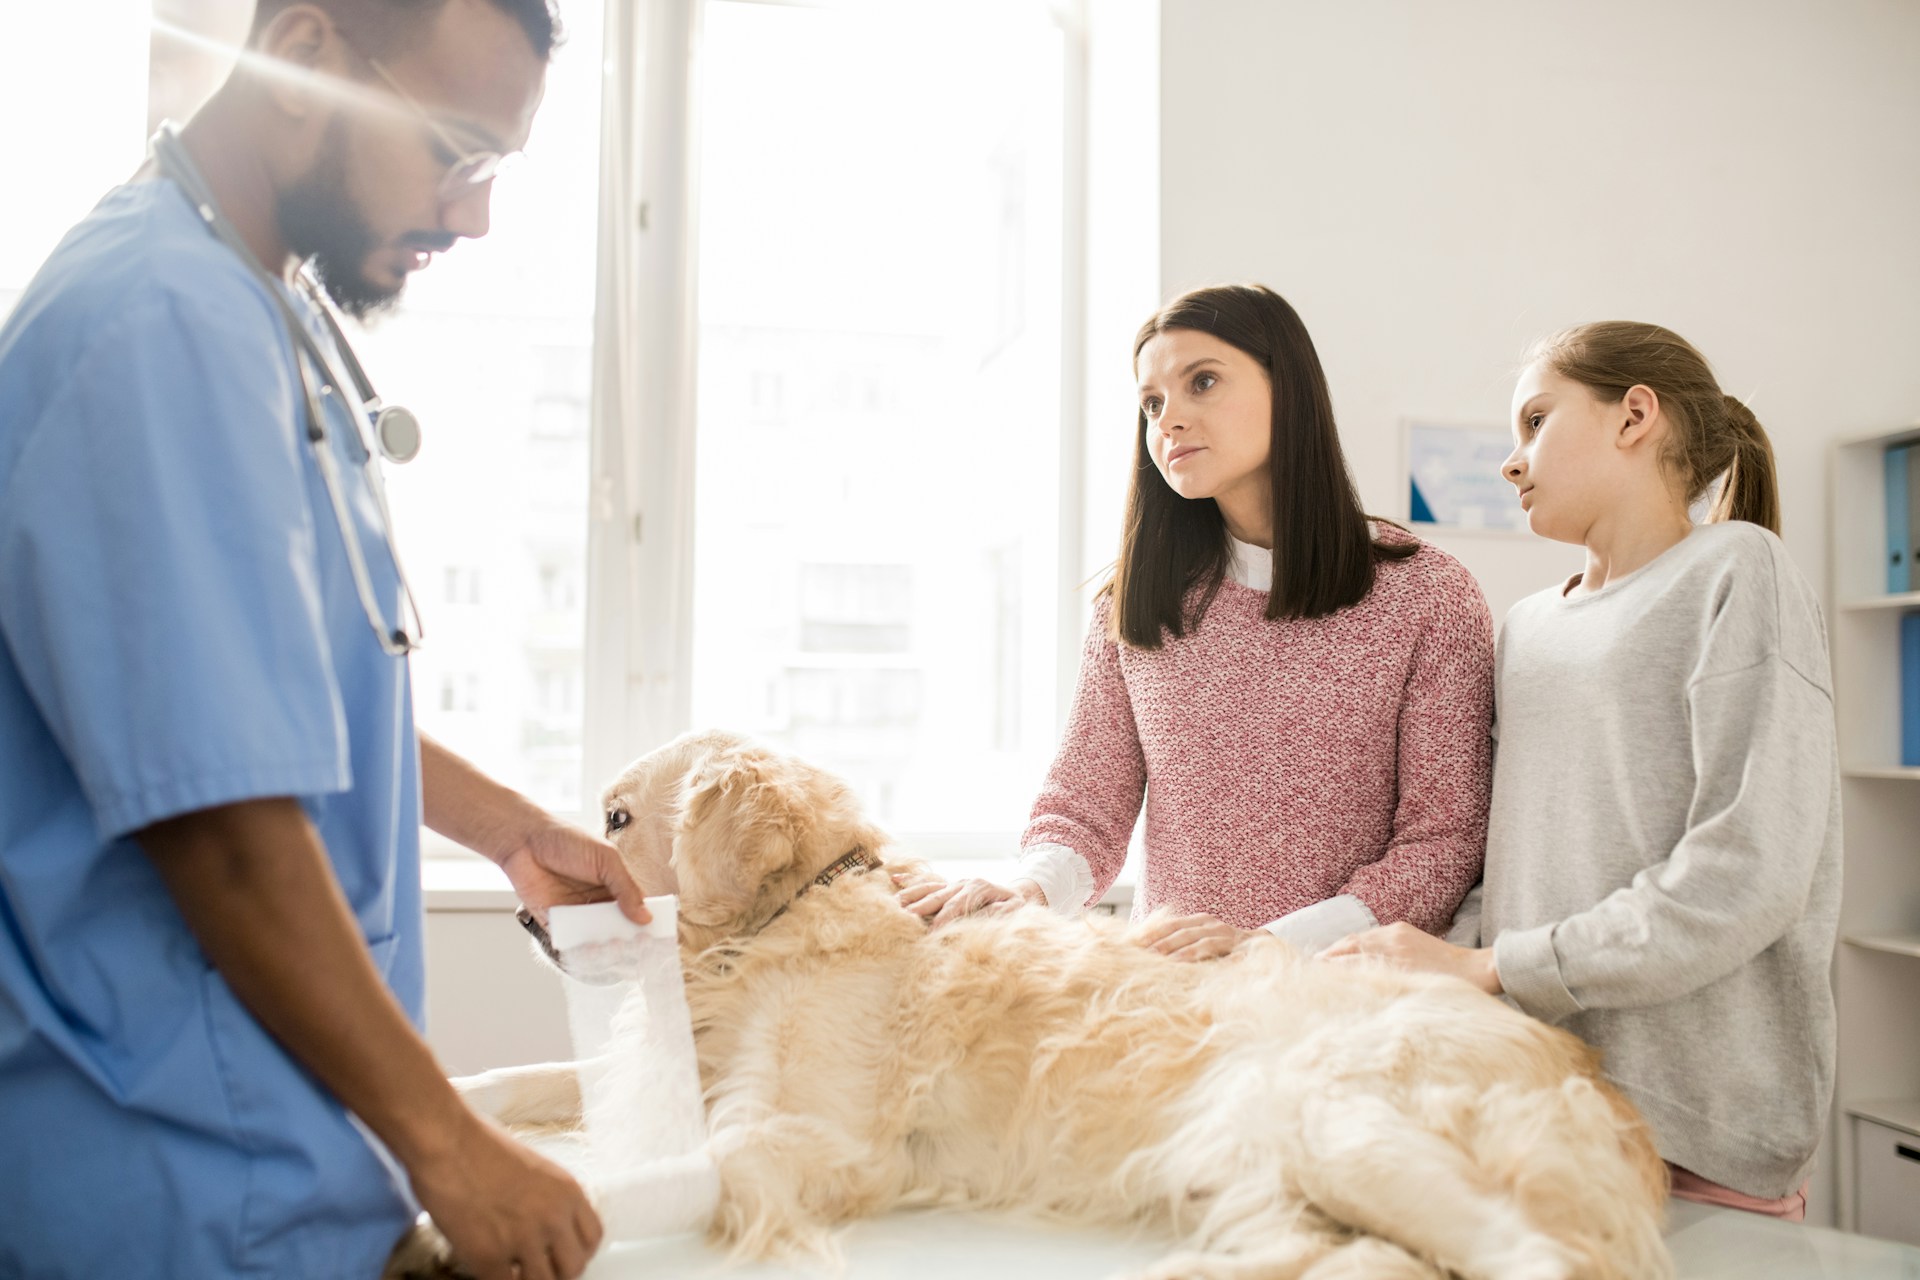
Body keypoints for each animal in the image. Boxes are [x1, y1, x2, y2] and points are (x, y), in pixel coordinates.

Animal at [445, 729, 1666, 1280]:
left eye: (616, 819)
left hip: (1344, 1123)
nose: (527, 922)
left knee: (1542, 1261)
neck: (785, 916)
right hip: (1270, 1176)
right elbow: (519, 1082)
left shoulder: (800, 1137)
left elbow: (626, 1184)